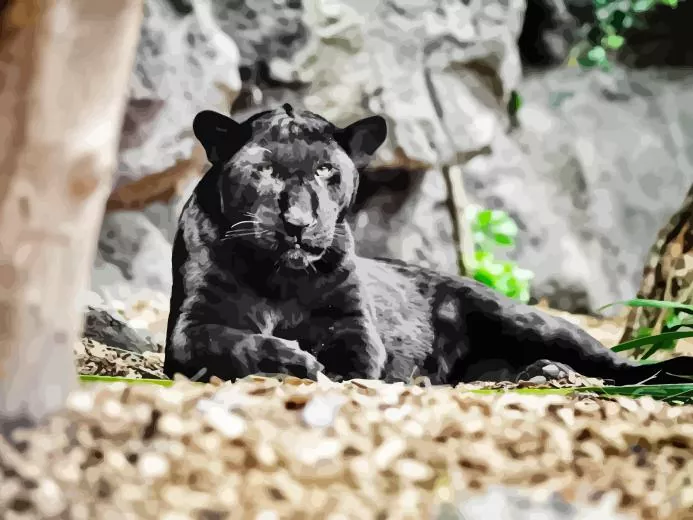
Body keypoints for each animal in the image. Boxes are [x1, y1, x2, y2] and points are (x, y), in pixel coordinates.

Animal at [164, 103, 693, 386]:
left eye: (325, 169)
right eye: (265, 170)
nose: (298, 222)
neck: (280, 278)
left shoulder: (354, 326)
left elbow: (351, 360)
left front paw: (323, 371)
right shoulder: (193, 326)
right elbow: (236, 343)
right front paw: (292, 359)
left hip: (529, 320)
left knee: (615, 363)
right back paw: (540, 373)